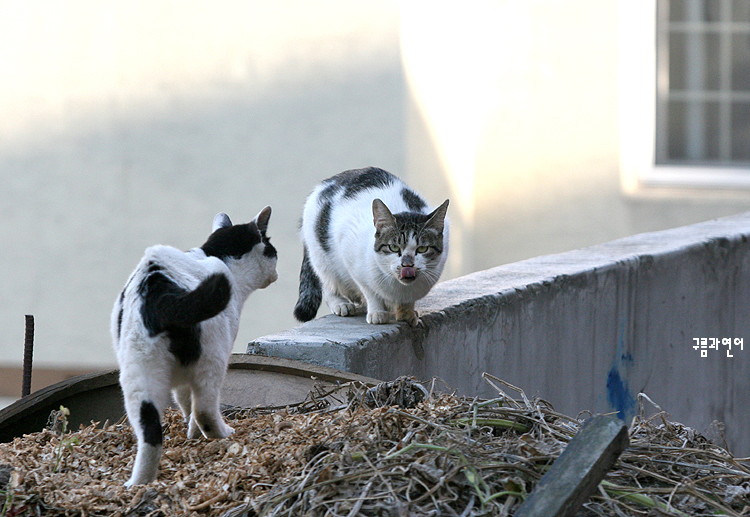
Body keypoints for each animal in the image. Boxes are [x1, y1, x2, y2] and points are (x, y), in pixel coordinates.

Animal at [110, 206, 278, 484]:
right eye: (272, 250)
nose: (277, 272)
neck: (213, 255)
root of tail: (160, 293)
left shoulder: (179, 380)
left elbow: (183, 401)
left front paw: (191, 434)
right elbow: (193, 407)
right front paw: (196, 432)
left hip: (139, 372)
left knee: (149, 432)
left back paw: (138, 483)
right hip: (213, 358)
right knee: (205, 410)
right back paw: (224, 433)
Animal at [294, 167, 450, 324]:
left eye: (422, 248)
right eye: (394, 247)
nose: (407, 264)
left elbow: (407, 302)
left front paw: (407, 313)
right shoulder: (350, 253)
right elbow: (369, 290)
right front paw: (377, 312)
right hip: (321, 256)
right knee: (327, 282)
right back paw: (340, 303)